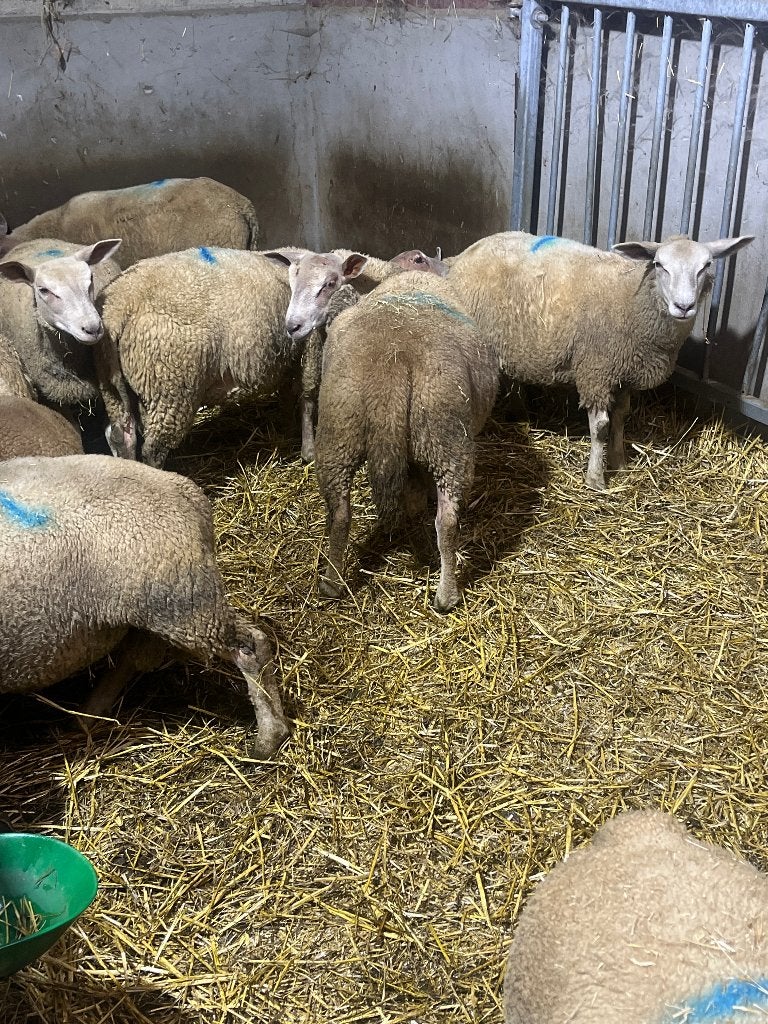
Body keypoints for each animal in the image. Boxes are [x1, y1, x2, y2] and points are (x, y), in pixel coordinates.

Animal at [0, 454, 289, 757]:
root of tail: (184, 489)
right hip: (151, 607)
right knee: (132, 658)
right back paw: (85, 718)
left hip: (182, 596)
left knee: (251, 646)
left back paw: (269, 738)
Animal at [313, 271, 499, 611]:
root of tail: (393, 360)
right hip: (447, 436)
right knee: (447, 523)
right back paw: (447, 596)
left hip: (338, 430)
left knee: (340, 515)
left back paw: (331, 583)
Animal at [446, 232, 754, 490]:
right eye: (659, 265)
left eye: (706, 265)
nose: (684, 306)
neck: (633, 298)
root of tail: (467, 252)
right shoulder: (597, 371)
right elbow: (601, 427)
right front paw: (596, 478)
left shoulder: (625, 373)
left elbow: (621, 417)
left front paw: (619, 462)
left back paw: (518, 412)